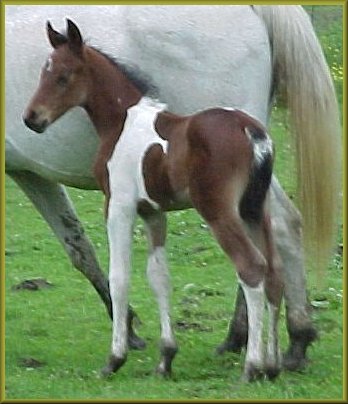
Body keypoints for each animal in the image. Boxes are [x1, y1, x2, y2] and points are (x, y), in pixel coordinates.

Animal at [23, 19, 282, 382]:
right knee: (274, 273)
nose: (32, 118)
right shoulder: (154, 213)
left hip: (220, 213)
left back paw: (252, 365)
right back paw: (272, 366)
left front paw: (115, 358)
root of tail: (250, 131)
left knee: (252, 268)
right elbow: (160, 278)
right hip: (255, 211)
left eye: (63, 75)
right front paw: (166, 358)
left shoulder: (118, 206)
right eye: (42, 73)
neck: (121, 122)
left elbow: (119, 278)